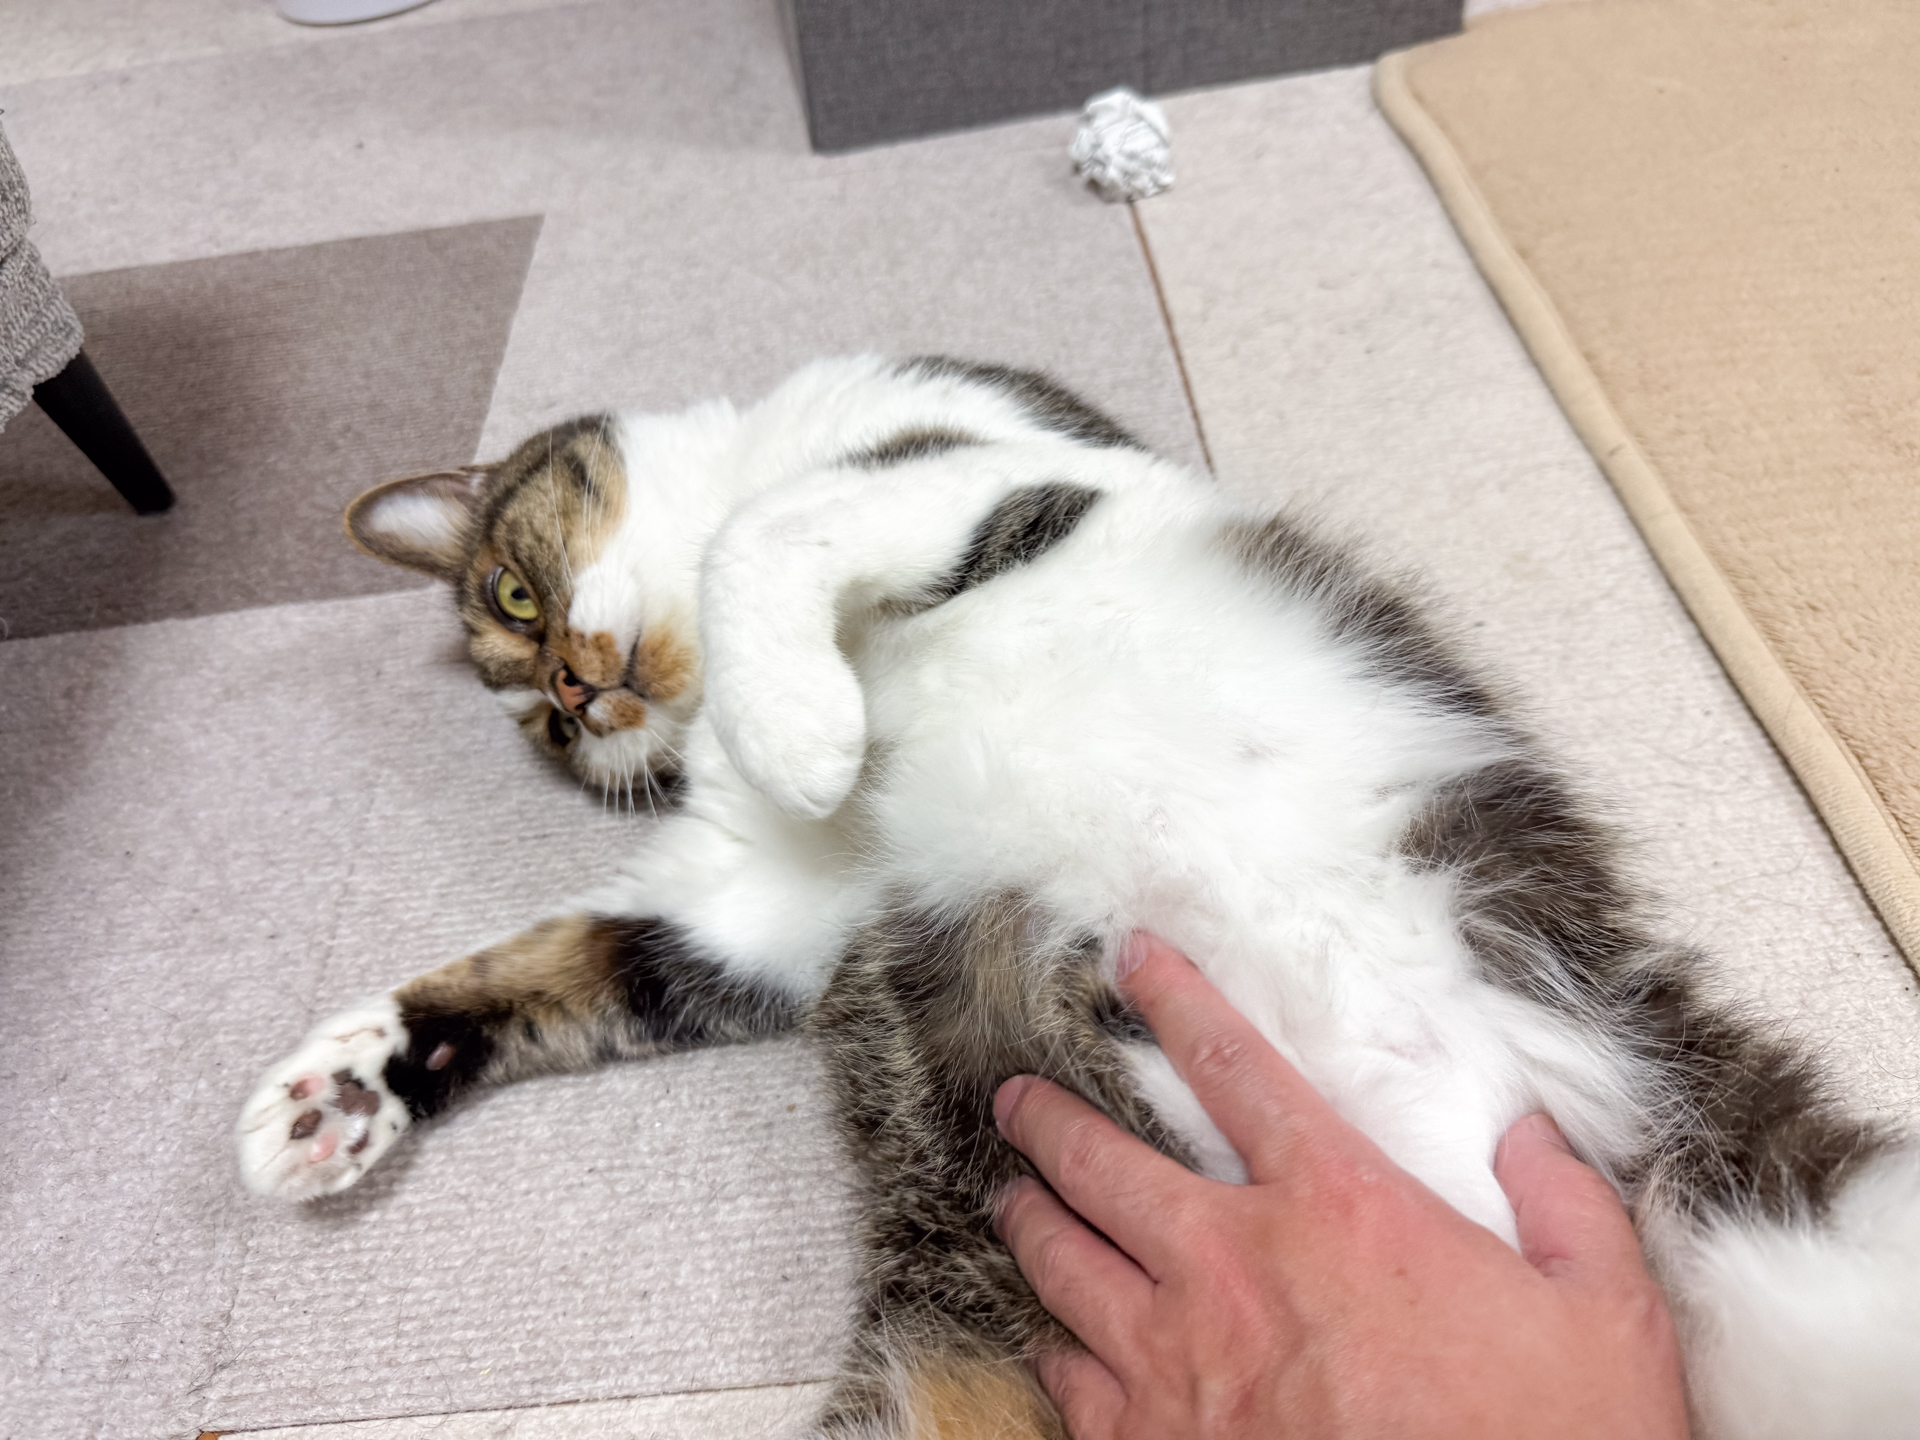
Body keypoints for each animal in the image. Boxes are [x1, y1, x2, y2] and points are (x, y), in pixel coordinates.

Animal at [237, 354, 1920, 1439]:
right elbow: (573, 962)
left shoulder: (1016, 468)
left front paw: (803, 729)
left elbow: (773, 526)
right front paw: (334, 1092)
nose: (581, 699)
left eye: (518, 600)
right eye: (538, 719)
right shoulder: (780, 905)